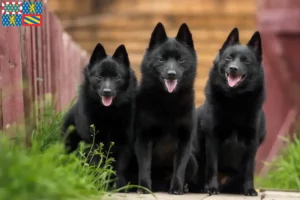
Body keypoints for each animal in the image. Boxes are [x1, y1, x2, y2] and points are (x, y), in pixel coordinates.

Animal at [61, 43, 138, 190]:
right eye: (99, 77)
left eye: (117, 78)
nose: (107, 92)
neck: (108, 113)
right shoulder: (93, 142)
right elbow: (96, 163)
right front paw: (98, 183)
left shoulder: (124, 143)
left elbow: (120, 167)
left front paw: (117, 185)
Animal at [135, 22, 198, 195]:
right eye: (161, 59)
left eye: (181, 59)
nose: (171, 74)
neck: (168, 102)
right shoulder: (144, 138)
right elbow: (145, 165)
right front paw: (144, 188)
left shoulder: (184, 141)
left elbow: (179, 169)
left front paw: (176, 188)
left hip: (193, 161)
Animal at [197, 27, 264, 195]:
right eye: (229, 58)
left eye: (246, 61)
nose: (233, 69)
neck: (235, 100)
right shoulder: (212, 138)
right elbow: (212, 167)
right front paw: (212, 188)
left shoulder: (252, 142)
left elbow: (249, 170)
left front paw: (249, 189)